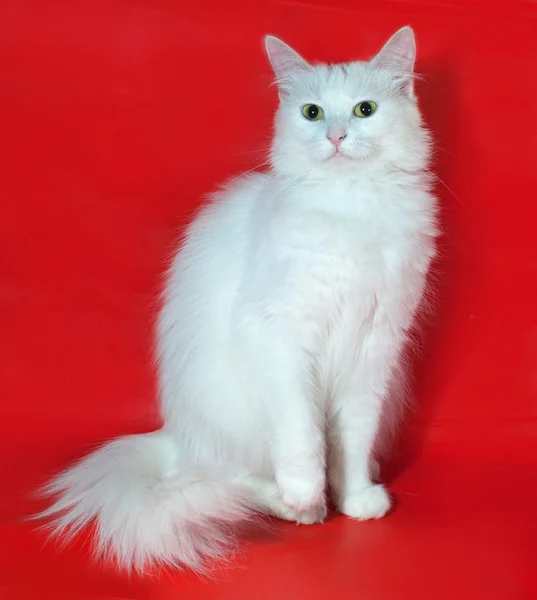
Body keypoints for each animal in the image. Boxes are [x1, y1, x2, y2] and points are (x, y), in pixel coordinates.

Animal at [39, 27, 438, 572]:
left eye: (364, 110)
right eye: (312, 112)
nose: (335, 137)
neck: (351, 207)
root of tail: (178, 432)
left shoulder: (374, 351)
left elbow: (353, 441)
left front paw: (356, 499)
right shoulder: (281, 338)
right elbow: (303, 436)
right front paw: (306, 494)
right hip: (230, 416)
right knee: (230, 479)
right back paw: (294, 507)